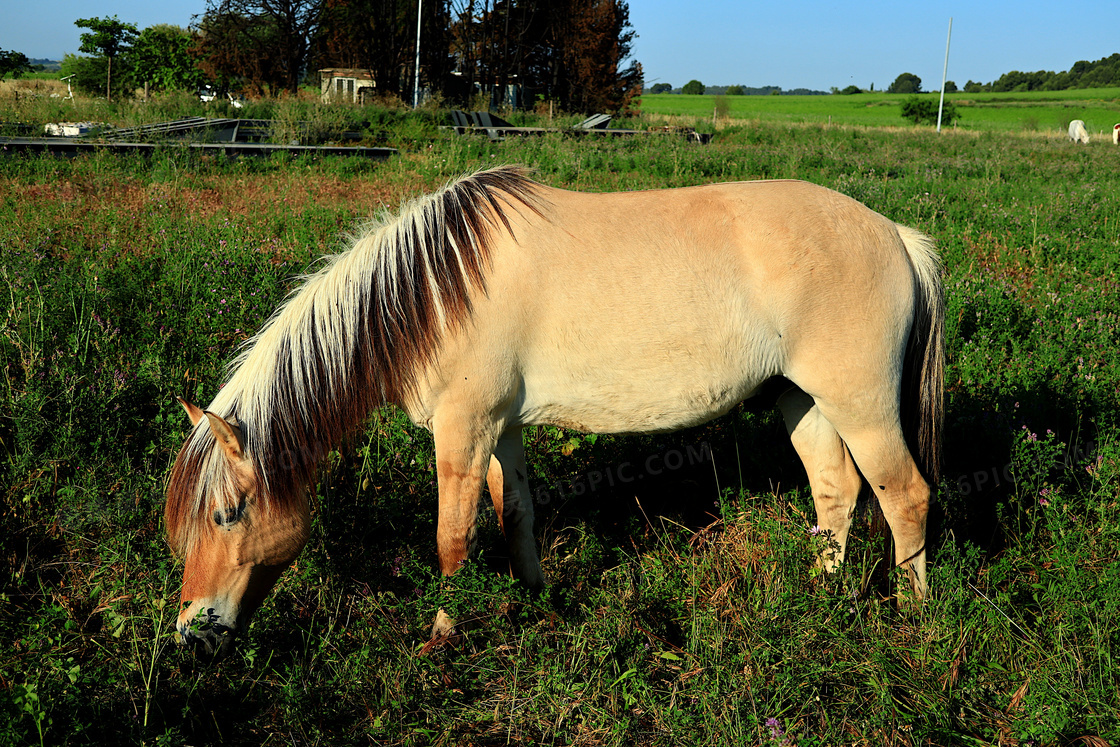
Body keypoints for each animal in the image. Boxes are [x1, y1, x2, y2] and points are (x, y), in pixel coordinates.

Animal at [165, 166, 940, 658]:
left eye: (225, 515)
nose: (191, 634)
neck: (432, 292)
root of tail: (896, 233)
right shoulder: (502, 429)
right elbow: (516, 513)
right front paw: (538, 601)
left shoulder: (464, 428)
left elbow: (452, 539)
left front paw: (443, 636)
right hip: (802, 399)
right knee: (836, 492)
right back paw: (820, 596)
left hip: (860, 403)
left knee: (905, 495)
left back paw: (914, 620)